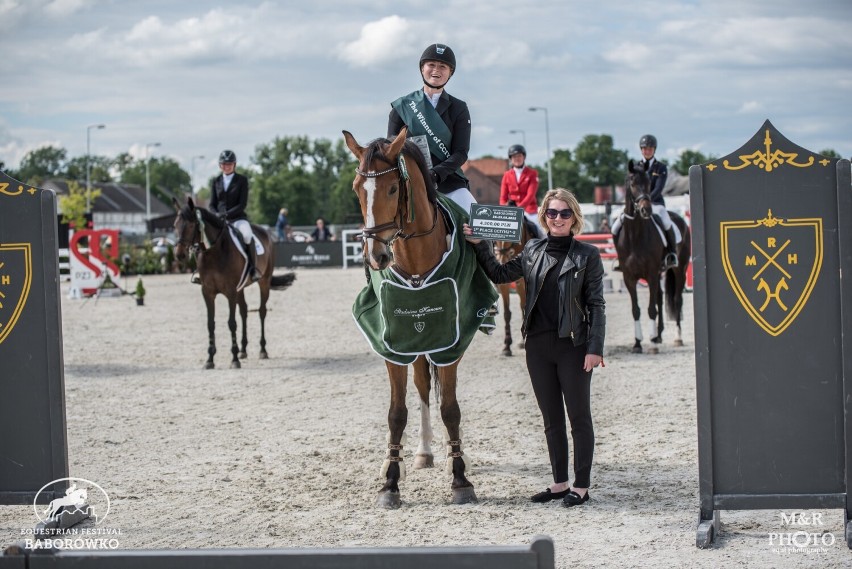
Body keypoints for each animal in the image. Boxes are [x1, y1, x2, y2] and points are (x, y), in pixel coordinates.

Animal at [170, 197, 296, 370]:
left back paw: (262, 350)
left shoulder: (230, 291)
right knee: (244, 311)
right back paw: (243, 350)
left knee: (262, 311)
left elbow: (231, 323)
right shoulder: (207, 292)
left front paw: (234, 359)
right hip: (240, 289)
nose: (179, 255)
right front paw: (210, 359)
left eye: (190, 225)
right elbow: (211, 323)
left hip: (263, 283)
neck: (214, 252)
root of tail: (266, 233)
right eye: (175, 225)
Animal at [612, 160, 692, 352]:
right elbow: (636, 310)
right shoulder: (629, 277)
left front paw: (652, 343)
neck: (635, 235)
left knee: (676, 300)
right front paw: (638, 343)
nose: (645, 210)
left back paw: (676, 338)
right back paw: (659, 335)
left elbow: (651, 309)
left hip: (679, 269)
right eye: (632, 183)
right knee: (660, 298)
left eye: (649, 183)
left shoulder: (650, 273)